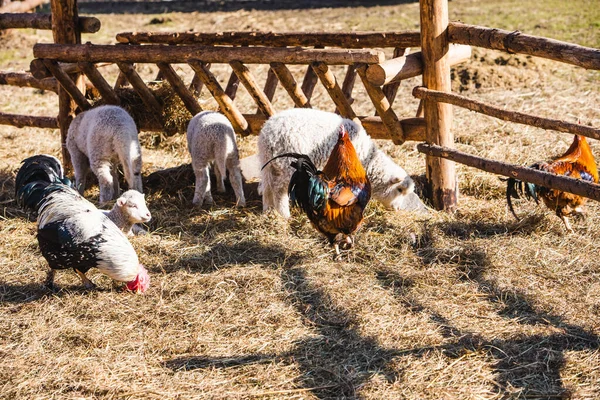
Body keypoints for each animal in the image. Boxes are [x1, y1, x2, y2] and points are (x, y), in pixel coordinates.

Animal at [258, 108, 418, 217]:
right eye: (399, 190)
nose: (397, 209)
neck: (368, 159)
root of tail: (269, 134)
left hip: (267, 161)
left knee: (267, 185)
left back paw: (268, 211)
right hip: (288, 162)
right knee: (279, 189)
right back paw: (284, 215)